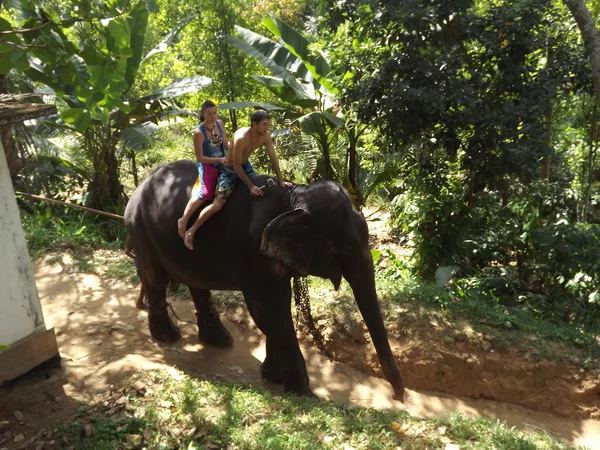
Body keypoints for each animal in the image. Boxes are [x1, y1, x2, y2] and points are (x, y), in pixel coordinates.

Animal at [125, 159, 408, 400]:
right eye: (340, 247)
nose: (397, 398)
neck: (293, 196)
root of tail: (138, 188)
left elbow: (275, 310)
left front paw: (273, 377)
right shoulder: (254, 252)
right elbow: (268, 310)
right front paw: (303, 394)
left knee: (196, 284)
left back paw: (220, 340)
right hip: (141, 232)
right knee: (156, 280)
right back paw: (168, 337)